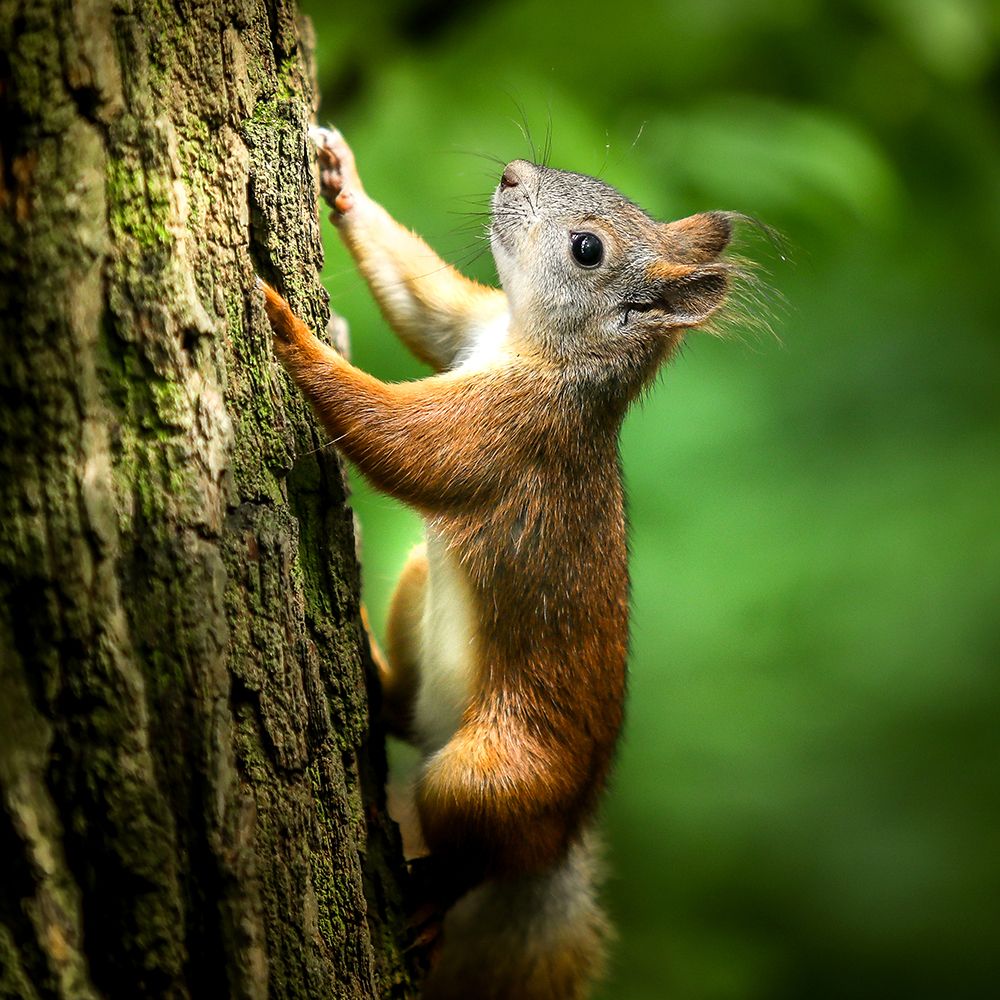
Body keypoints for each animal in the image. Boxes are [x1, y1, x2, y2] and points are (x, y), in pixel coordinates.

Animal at [259, 126, 741, 1000]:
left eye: (587, 249)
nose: (513, 173)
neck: (532, 346)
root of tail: (556, 845)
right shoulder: (471, 328)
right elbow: (427, 307)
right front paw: (341, 179)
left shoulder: (512, 432)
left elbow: (399, 442)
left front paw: (289, 332)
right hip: (418, 595)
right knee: (406, 712)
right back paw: (374, 677)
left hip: (490, 779)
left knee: (476, 855)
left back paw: (432, 902)